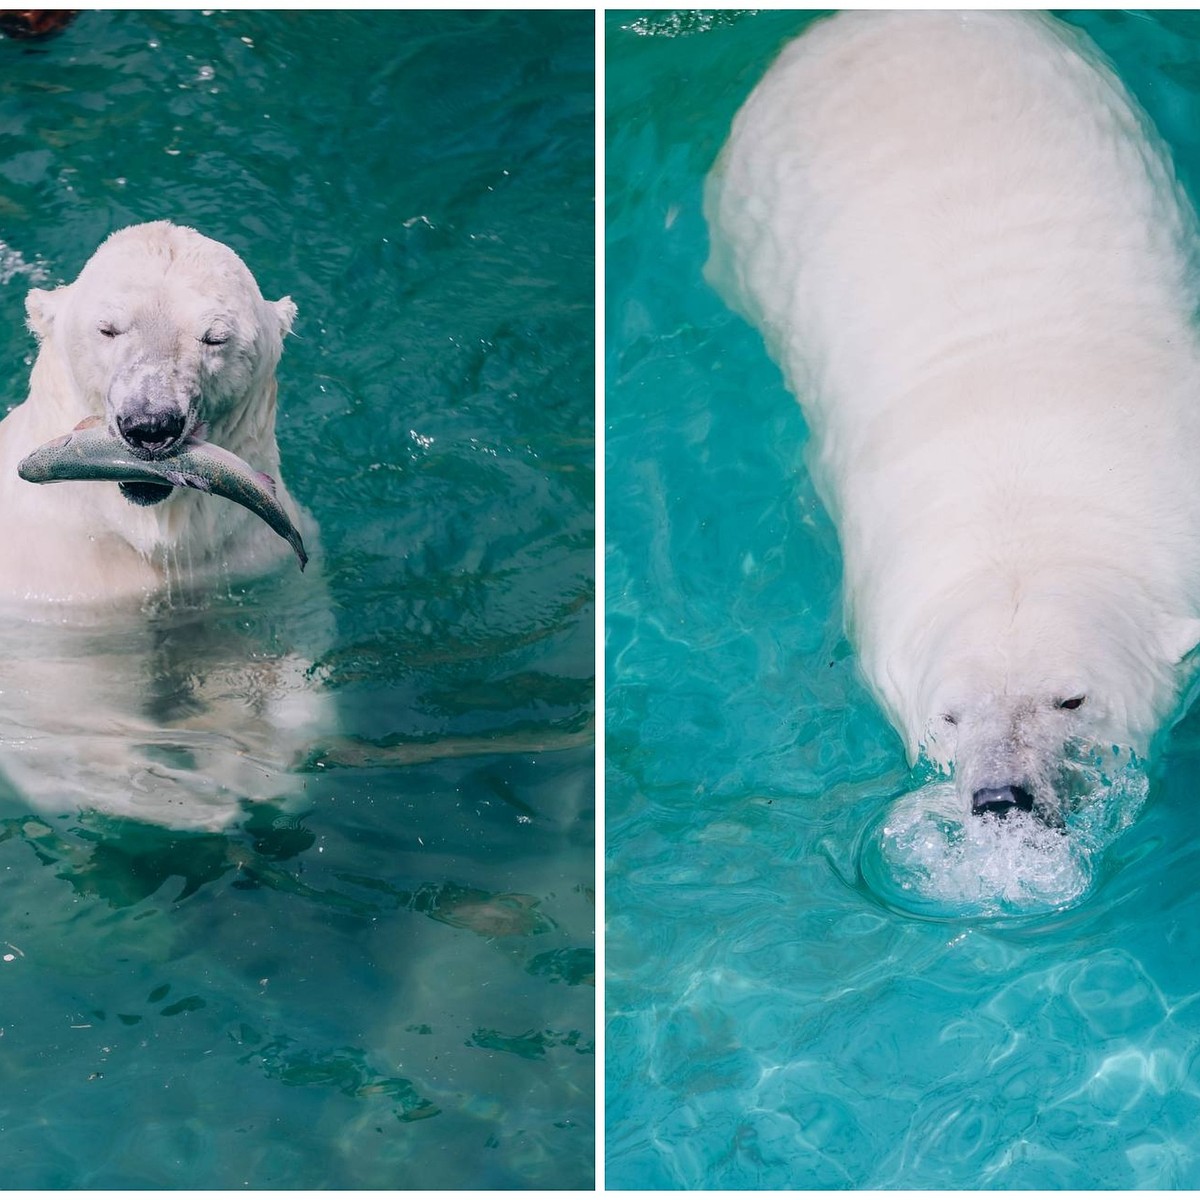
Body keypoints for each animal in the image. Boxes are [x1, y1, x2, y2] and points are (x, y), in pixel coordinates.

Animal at [0, 220, 328, 830]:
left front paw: (249, 767)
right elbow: (62, 714)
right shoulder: (59, 591)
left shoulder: (250, 564)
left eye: (215, 337)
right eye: (108, 328)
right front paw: (182, 796)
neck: (147, 532)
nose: (149, 424)